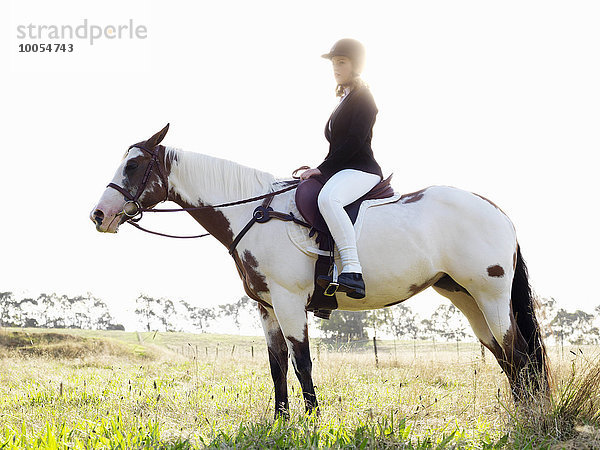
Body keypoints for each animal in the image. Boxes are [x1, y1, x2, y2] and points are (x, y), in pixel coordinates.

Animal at [90, 125, 548, 416]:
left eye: (133, 166)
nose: (99, 215)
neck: (255, 213)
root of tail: (495, 210)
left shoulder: (290, 301)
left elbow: (302, 363)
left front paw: (312, 422)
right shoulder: (267, 307)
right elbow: (277, 366)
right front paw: (281, 421)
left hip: (489, 295)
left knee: (517, 354)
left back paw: (526, 418)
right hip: (464, 297)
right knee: (506, 356)